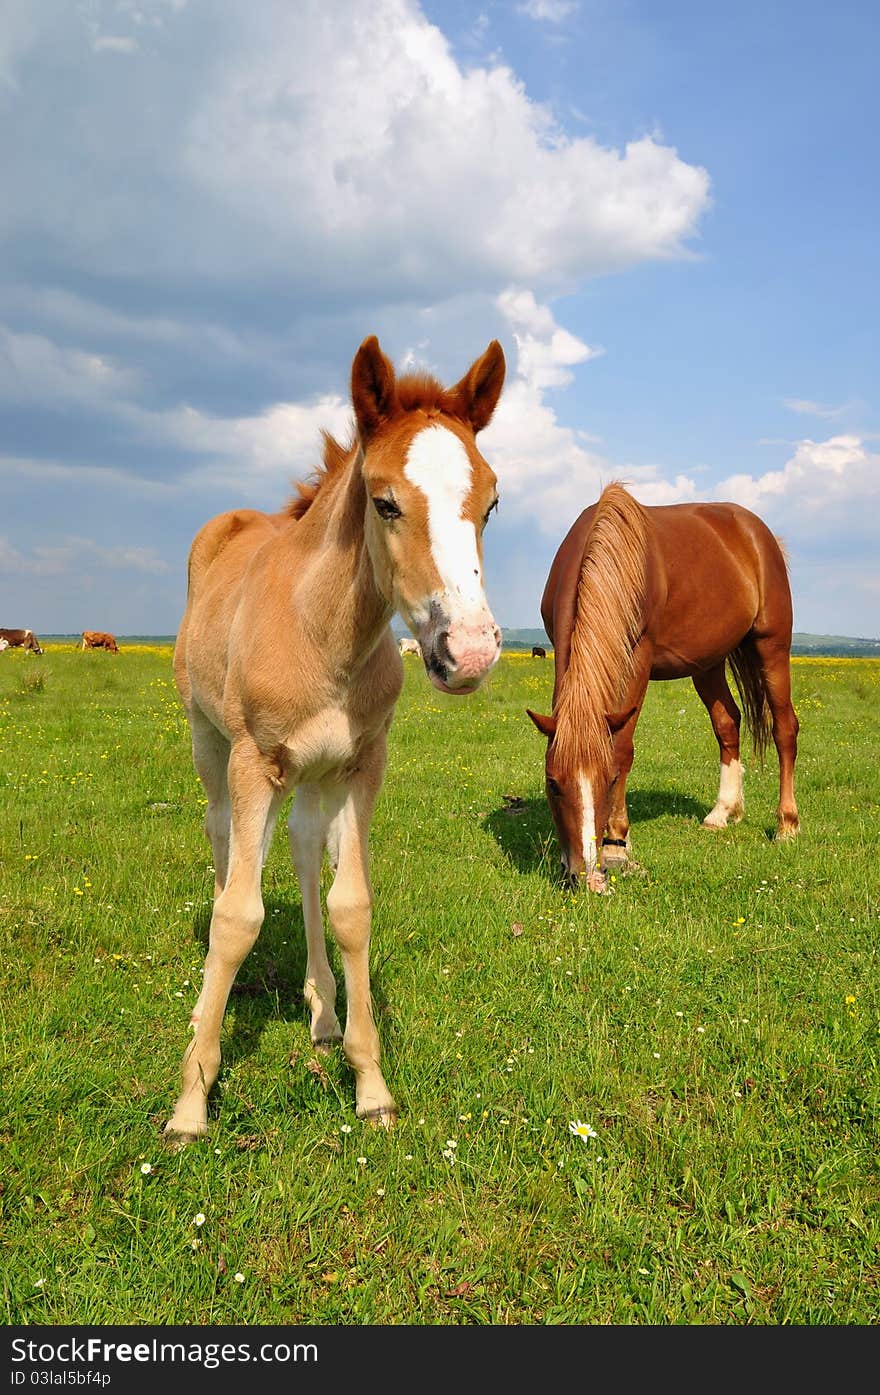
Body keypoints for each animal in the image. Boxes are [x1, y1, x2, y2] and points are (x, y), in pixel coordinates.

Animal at [165, 334, 504, 1143]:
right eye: (385, 502)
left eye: (491, 503)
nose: (470, 652)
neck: (323, 632)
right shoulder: (255, 761)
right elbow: (237, 917)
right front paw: (191, 1100)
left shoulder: (363, 763)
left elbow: (350, 905)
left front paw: (370, 1083)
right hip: (208, 739)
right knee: (221, 835)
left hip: (315, 775)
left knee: (300, 846)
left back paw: (321, 1009)